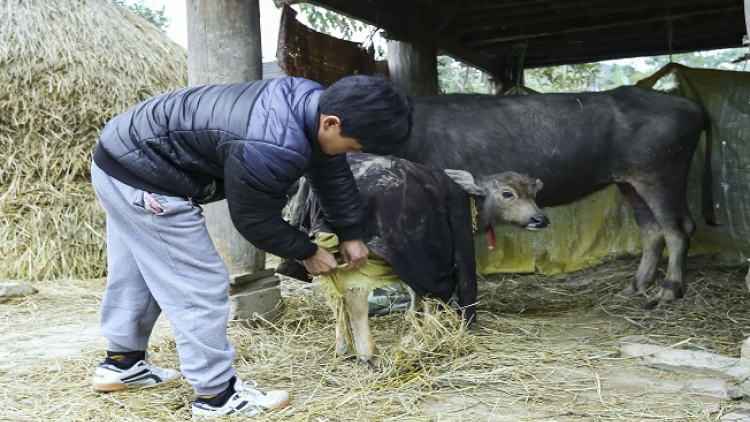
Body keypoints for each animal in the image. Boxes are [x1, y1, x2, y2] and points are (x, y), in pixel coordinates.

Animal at [394, 86, 716, 310]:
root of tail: (693, 105)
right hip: (630, 184)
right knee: (653, 231)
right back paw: (635, 287)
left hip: (658, 177)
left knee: (677, 231)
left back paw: (668, 291)